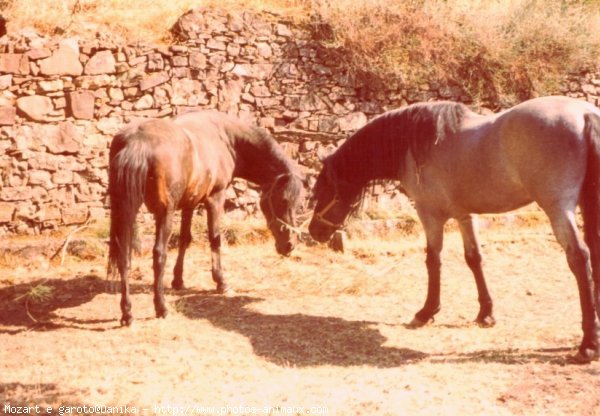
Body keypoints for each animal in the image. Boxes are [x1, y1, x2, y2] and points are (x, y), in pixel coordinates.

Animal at [108, 110, 304, 324]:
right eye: (283, 201)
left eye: (298, 204)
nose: (289, 245)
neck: (225, 138)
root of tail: (137, 142)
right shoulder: (215, 199)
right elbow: (215, 239)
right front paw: (221, 282)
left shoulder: (189, 204)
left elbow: (185, 239)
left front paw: (178, 280)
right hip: (164, 214)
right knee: (159, 254)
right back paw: (161, 307)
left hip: (125, 211)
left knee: (124, 255)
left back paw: (127, 312)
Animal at [310, 96, 600, 362]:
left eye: (322, 191)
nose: (315, 232)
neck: (414, 143)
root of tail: (584, 114)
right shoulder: (464, 215)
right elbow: (474, 259)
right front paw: (485, 314)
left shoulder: (429, 214)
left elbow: (433, 260)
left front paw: (426, 312)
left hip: (557, 208)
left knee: (579, 257)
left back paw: (588, 343)